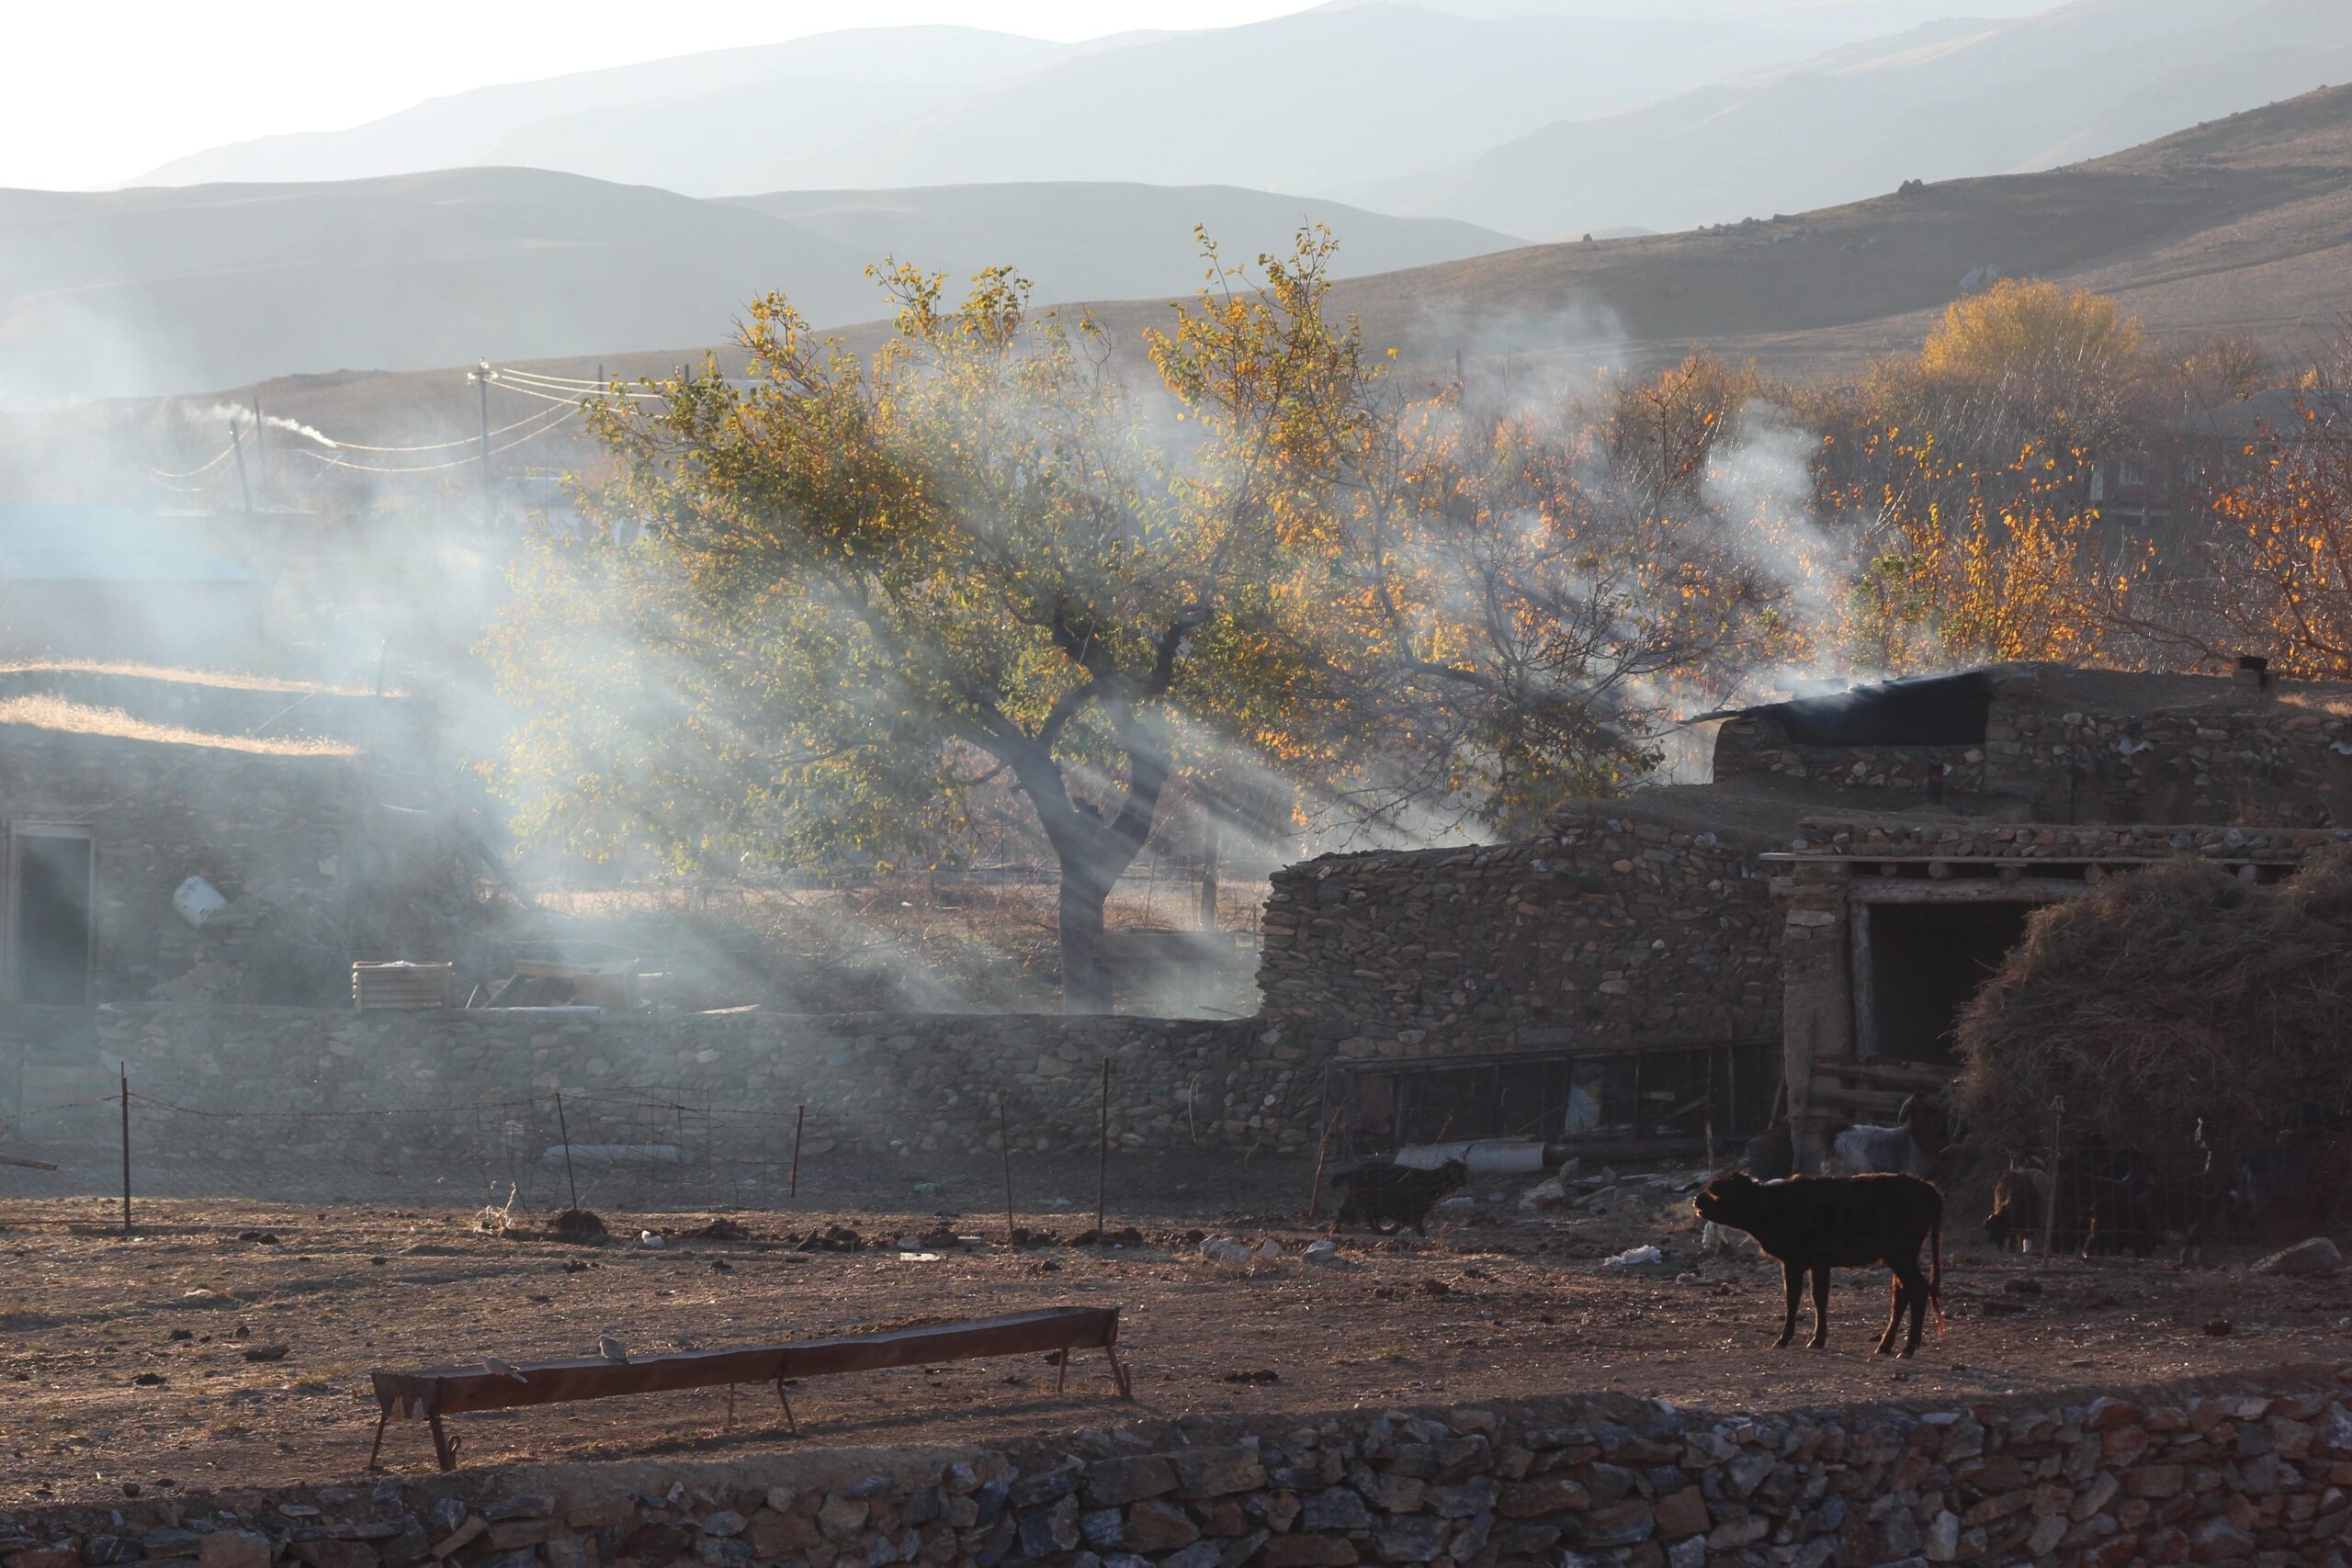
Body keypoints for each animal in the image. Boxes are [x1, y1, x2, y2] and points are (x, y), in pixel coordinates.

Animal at [1702, 1170, 1938, 1354]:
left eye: (1722, 1191)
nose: (1698, 1200)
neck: (1777, 1204)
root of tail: (1928, 1188)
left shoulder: (1795, 1262)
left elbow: (1794, 1299)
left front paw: (1785, 1339)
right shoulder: (1818, 1264)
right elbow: (1819, 1298)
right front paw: (1817, 1339)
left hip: (1901, 1255)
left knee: (1918, 1288)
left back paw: (1908, 1348)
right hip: (1898, 1257)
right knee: (1902, 1293)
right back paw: (1885, 1346)